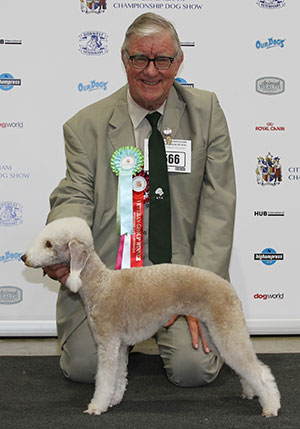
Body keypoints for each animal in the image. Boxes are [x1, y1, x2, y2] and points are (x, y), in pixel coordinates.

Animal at [21, 216, 282, 416]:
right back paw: (250, 392)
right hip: (214, 332)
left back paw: (270, 407)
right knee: (244, 367)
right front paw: (114, 399)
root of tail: (229, 288)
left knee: (260, 371)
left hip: (226, 327)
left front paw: (97, 406)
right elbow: (119, 374)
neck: (100, 285)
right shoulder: (118, 345)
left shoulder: (107, 341)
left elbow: (104, 377)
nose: (24, 258)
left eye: (48, 244)